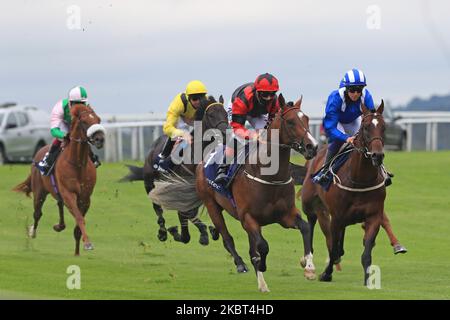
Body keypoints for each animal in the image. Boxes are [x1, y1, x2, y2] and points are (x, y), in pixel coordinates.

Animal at [12, 104, 105, 255]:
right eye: (84, 121)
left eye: (98, 119)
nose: (100, 139)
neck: (78, 164)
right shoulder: (69, 193)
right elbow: (79, 217)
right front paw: (88, 243)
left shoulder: (85, 197)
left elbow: (78, 224)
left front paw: (77, 252)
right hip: (39, 192)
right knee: (37, 213)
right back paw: (32, 232)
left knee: (59, 204)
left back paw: (59, 226)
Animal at [120, 95, 229, 245]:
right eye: (211, 115)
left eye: (226, 113)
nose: (225, 133)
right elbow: (185, 215)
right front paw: (187, 233)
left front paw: (210, 231)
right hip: (150, 184)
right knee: (158, 208)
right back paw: (162, 232)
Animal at [197, 94, 320, 292]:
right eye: (291, 122)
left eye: (307, 119)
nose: (313, 147)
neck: (269, 176)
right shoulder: (248, 218)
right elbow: (262, 246)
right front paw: (262, 265)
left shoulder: (286, 215)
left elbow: (306, 228)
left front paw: (308, 266)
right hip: (212, 205)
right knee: (227, 237)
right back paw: (243, 266)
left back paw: (261, 282)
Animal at [300, 101, 392, 284]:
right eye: (365, 127)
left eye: (384, 127)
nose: (377, 155)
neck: (360, 180)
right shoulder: (336, 217)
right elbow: (332, 248)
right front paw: (326, 274)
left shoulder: (373, 216)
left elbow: (366, 252)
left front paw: (368, 279)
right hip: (308, 201)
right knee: (311, 221)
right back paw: (308, 260)